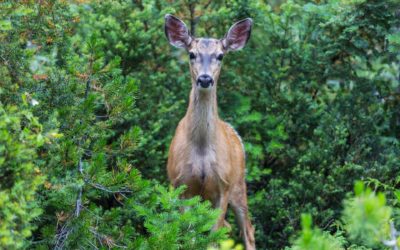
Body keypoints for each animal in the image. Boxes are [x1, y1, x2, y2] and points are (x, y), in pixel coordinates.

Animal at [166, 14, 256, 249]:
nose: (205, 79)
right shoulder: (182, 184)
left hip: (238, 184)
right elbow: (191, 237)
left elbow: (213, 238)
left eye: (220, 56)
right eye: (191, 54)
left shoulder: (223, 186)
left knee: (247, 229)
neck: (201, 149)